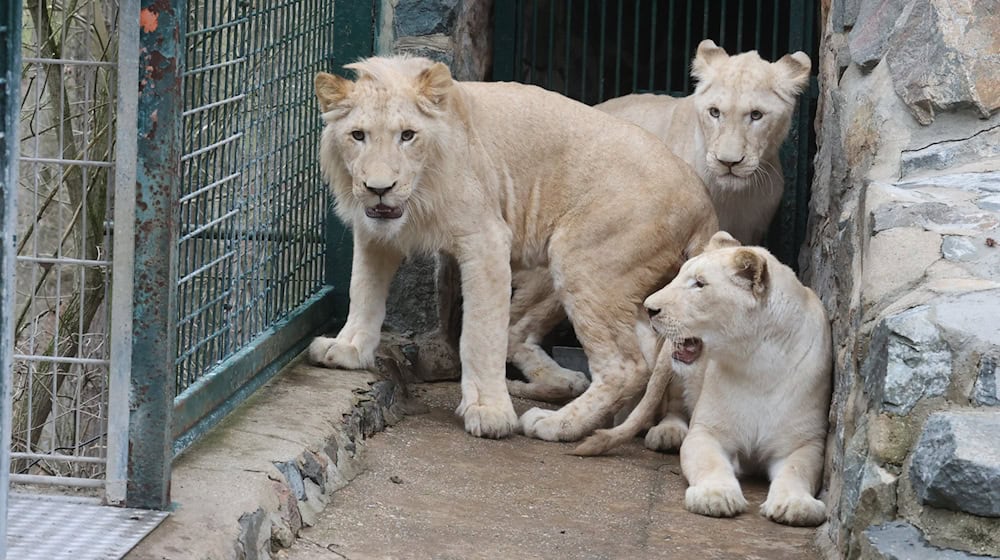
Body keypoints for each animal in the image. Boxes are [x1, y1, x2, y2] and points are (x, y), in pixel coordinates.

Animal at [308, 57, 716, 442]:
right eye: (358, 135)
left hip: (582, 261)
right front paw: (348, 349)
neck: (421, 192)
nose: (380, 188)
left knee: (625, 366)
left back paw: (557, 424)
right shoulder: (375, 230)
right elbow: (364, 290)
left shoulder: (486, 239)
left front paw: (488, 411)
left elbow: (480, 332)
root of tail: (703, 199)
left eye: (407, 135)